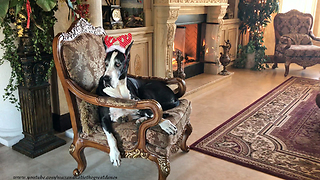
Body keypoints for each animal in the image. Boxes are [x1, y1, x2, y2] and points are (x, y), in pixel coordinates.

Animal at [95, 33, 180, 166]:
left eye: (118, 64)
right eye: (106, 64)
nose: (106, 79)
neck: (118, 90)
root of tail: (174, 95)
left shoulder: (141, 103)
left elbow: (156, 113)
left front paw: (165, 123)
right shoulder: (103, 118)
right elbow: (110, 136)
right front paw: (114, 154)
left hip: (145, 89)